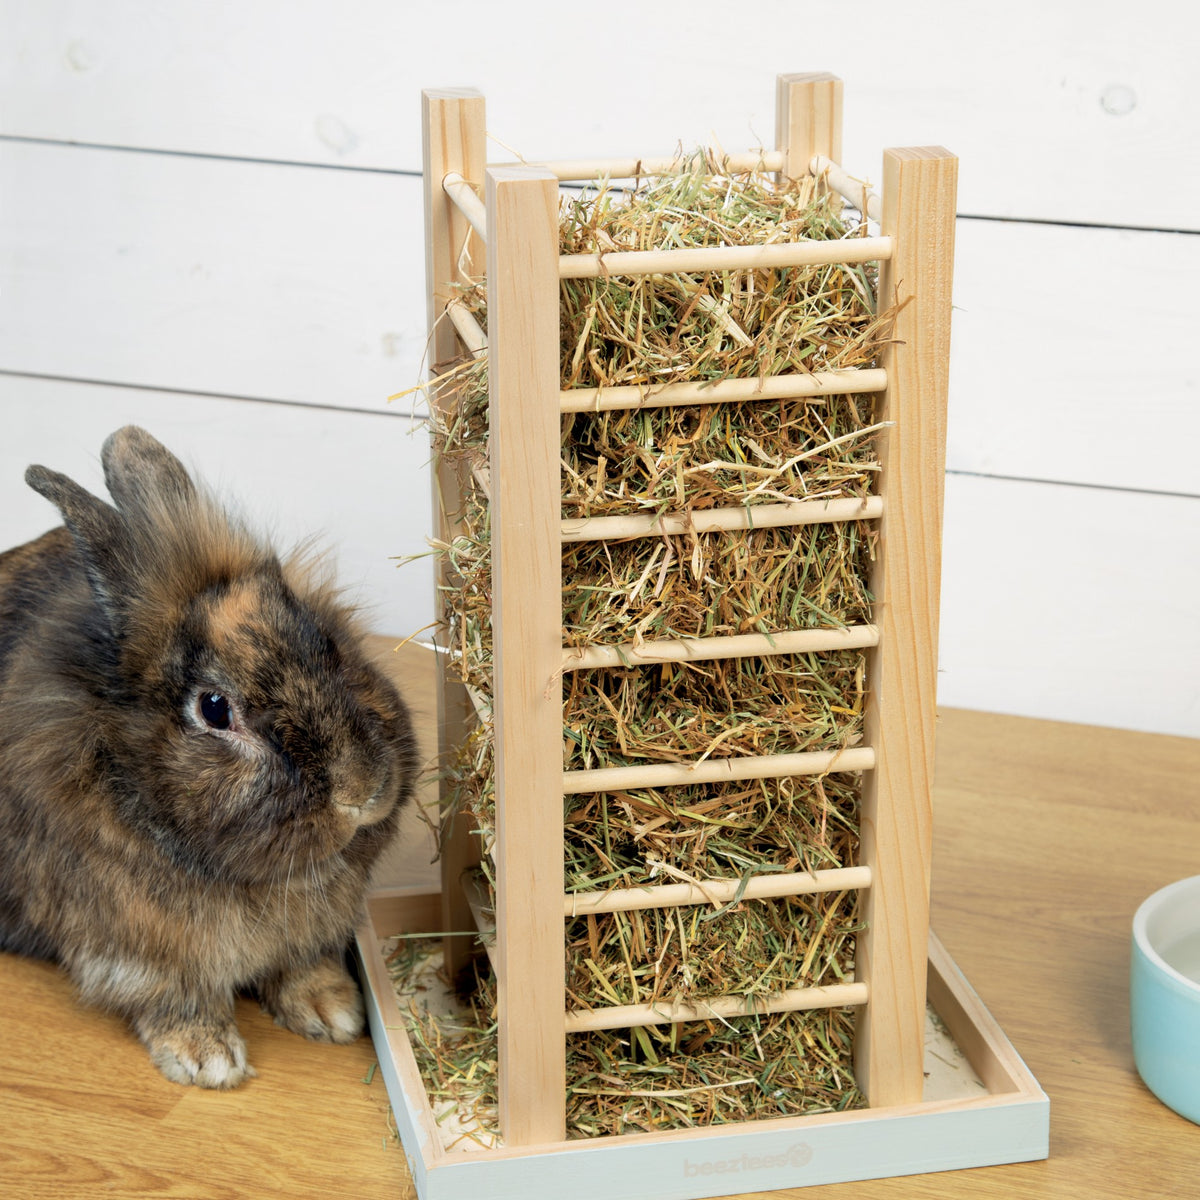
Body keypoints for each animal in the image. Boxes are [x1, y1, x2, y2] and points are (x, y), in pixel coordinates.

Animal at [0, 426, 417, 1088]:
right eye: (215, 710)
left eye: (328, 643)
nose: (362, 792)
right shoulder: (131, 947)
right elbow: (170, 994)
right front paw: (208, 1059)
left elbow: (302, 964)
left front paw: (333, 1011)